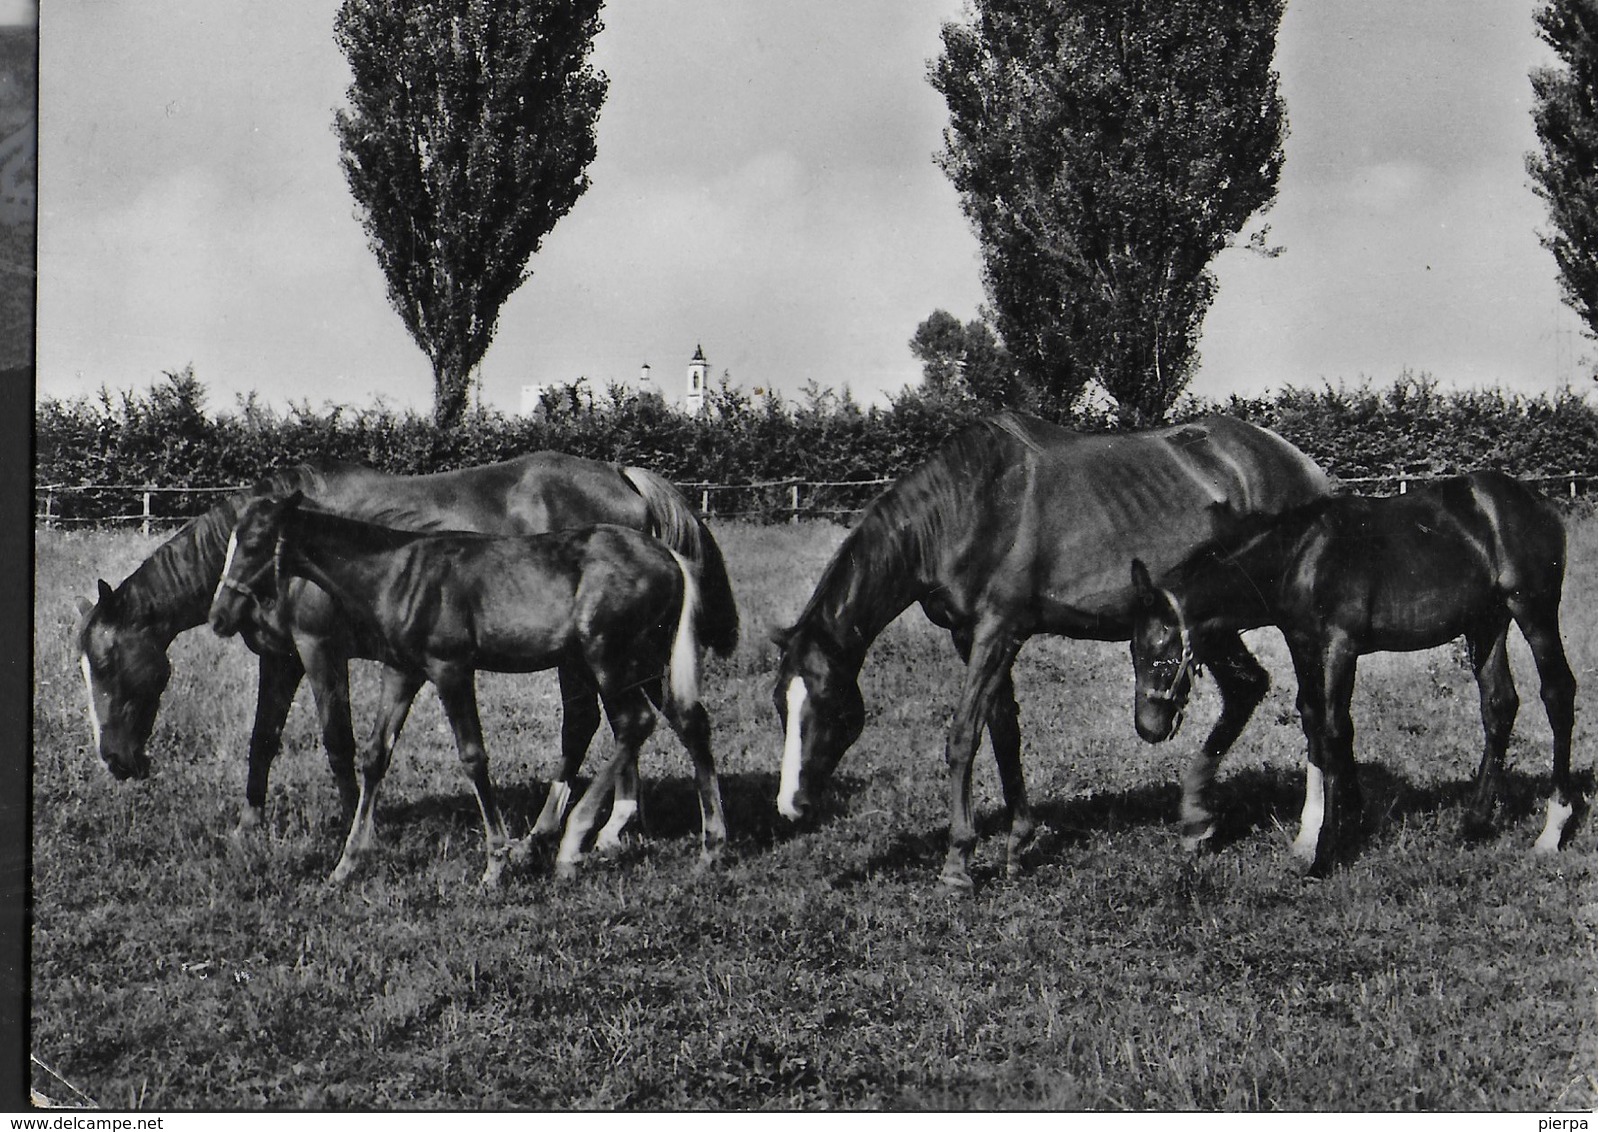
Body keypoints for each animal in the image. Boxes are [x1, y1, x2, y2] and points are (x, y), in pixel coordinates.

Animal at [71, 450, 738, 837]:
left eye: (106, 663)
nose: (115, 760)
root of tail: (625, 479)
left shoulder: (320, 650)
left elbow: (338, 742)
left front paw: (356, 823)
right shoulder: (281, 659)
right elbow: (263, 738)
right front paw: (247, 825)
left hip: (593, 652)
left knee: (589, 721)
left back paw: (561, 829)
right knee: (632, 718)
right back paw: (607, 825)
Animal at [209, 489, 728, 888]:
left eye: (253, 543)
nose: (219, 617)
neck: (399, 574)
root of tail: (671, 556)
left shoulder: (451, 669)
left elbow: (474, 757)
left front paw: (495, 863)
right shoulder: (402, 671)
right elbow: (375, 755)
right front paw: (347, 863)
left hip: (610, 660)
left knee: (633, 723)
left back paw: (571, 844)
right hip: (647, 662)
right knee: (688, 723)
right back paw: (712, 845)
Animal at [773, 412, 1335, 888]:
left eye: (832, 707)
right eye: (781, 704)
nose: (789, 806)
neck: (966, 507)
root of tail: (1306, 469)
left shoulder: (998, 631)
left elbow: (963, 737)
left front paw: (958, 863)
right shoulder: (972, 637)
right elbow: (1004, 733)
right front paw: (1017, 845)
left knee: (1310, 712)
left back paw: (1308, 839)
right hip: (1207, 624)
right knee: (1246, 689)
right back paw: (1197, 819)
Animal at [1131, 470, 1578, 876]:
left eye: (1161, 650)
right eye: (1133, 649)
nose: (1148, 726)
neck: (1299, 557)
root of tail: (1538, 501)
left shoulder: (1339, 644)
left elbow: (1333, 729)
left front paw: (1327, 849)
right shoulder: (1303, 644)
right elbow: (1313, 718)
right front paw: (1323, 829)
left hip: (1533, 607)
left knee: (1557, 692)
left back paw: (1552, 830)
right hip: (1486, 624)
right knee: (1499, 704)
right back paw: (1474, 823)